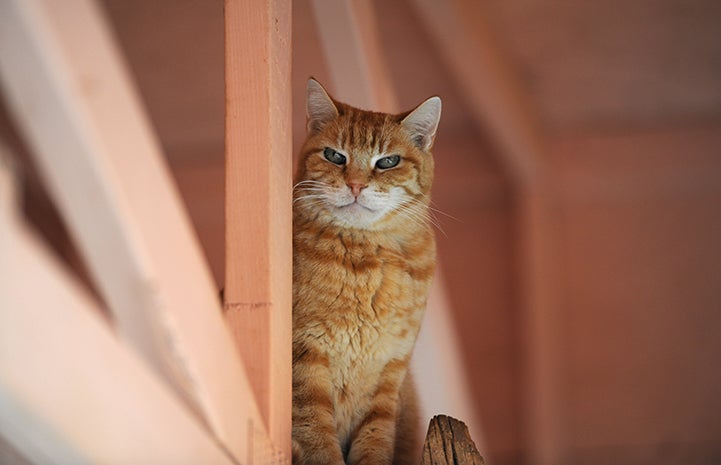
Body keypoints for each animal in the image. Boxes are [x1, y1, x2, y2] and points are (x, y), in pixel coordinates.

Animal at [292, 77, 438, 464]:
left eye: (387, 162)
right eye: (334, 156)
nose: (356, 185)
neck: (368, 258)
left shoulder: (390, 374)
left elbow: (375, 441)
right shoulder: (305, 358)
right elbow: (317, 440)